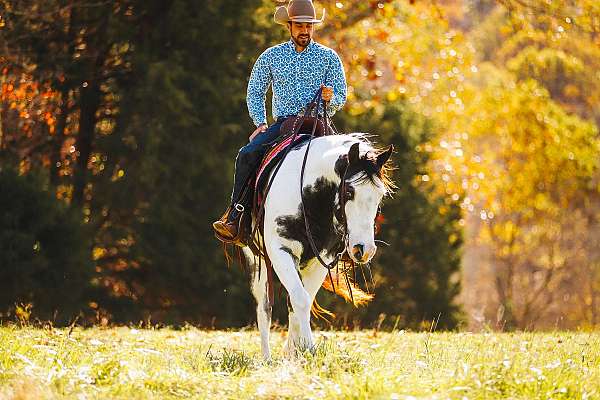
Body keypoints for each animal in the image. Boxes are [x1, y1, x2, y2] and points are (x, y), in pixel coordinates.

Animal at [244, 134, 394, 360]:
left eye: (381, 194)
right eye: (349, 191)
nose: (364, 249)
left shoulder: (321, 260)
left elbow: (299, 301)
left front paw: (297, 353)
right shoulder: (281, 251)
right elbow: (300, 300)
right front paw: (310, 350)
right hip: (258, 261)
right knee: (264, 308)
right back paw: (266, 358)